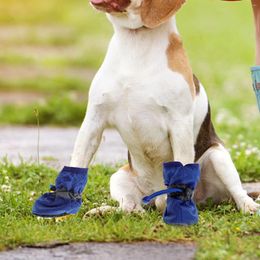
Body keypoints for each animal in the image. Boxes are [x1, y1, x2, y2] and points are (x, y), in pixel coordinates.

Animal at [70, 0, 258, 213]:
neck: (135, 41)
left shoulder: (179, 125)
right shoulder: (94, 120)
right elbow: (77, 162)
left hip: (218, 157)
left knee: (237, 192)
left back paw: (248, 206)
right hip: (119, 177)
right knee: (131, 207)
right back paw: (105, 211)